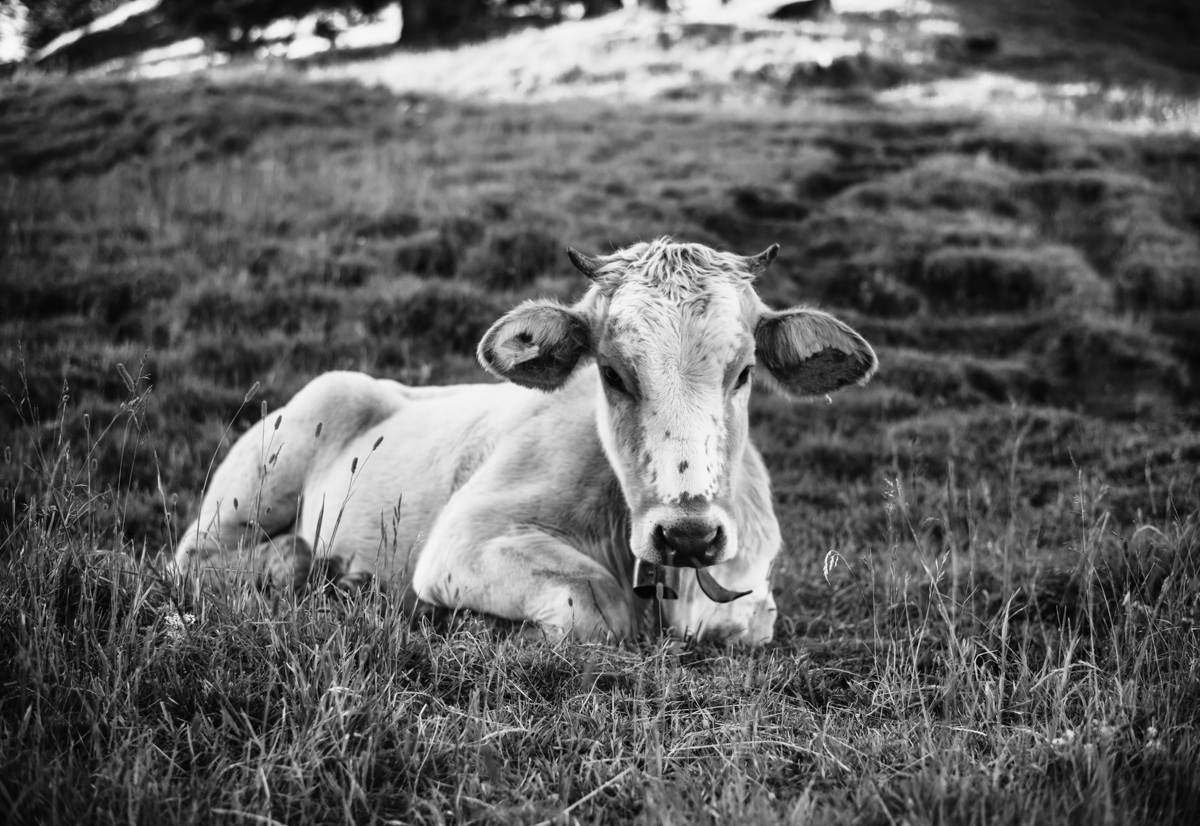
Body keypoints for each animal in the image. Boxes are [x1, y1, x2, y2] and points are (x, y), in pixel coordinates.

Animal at [172, 238, 877, 644]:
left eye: (745, 371)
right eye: (612, 373)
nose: (688, 535)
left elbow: (741, 621)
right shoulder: (465, 540)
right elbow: (597, 604)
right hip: (252, 487)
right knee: (205, 562)